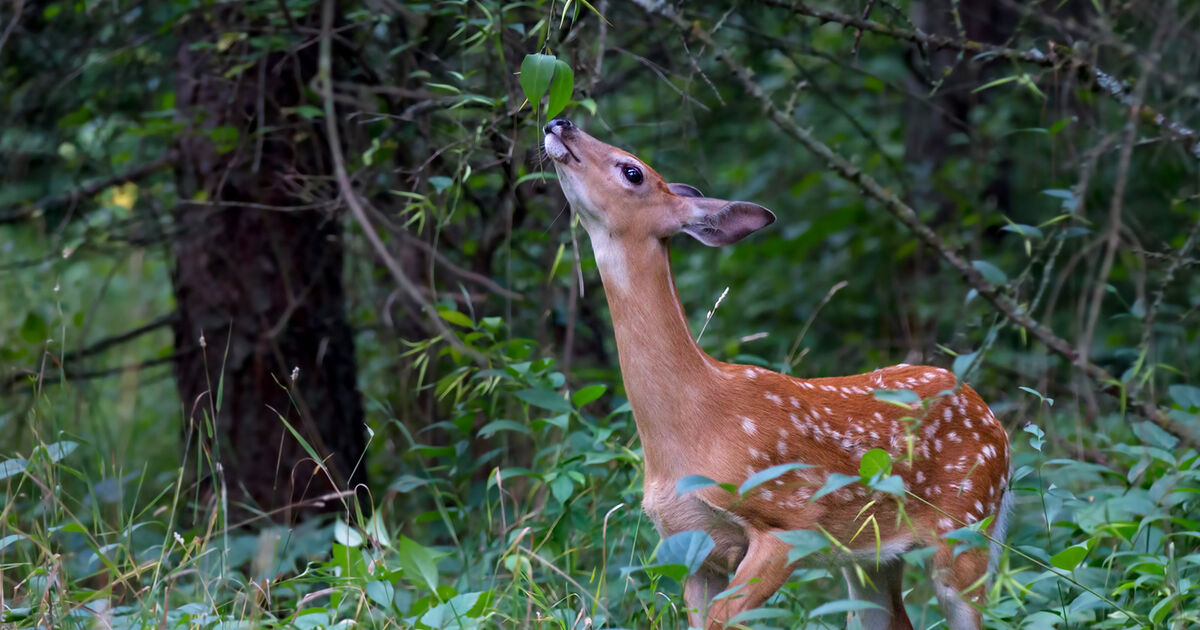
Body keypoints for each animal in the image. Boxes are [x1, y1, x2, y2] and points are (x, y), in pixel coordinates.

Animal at [544, 119, 1012, 628]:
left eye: (632, 171)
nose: (560, 122)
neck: (692, 420)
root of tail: (996, 422)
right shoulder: (692, 548)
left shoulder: (788, 521)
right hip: (871, 556)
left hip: (965, 525)